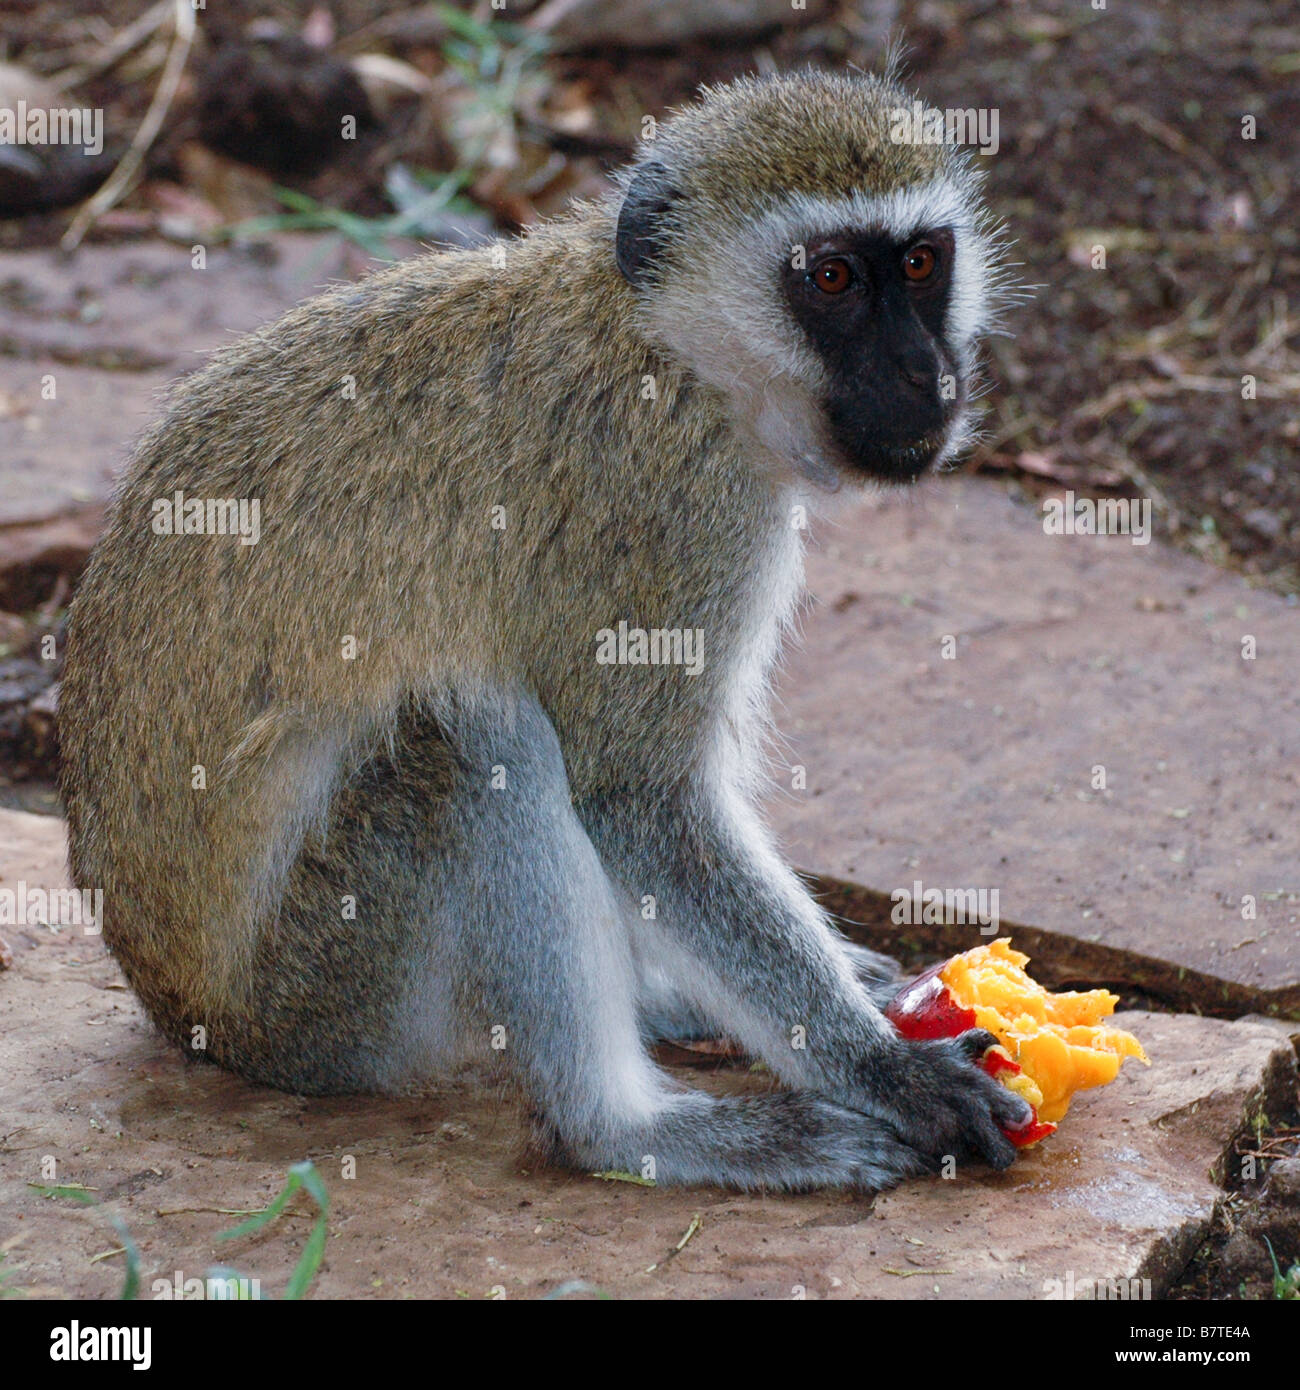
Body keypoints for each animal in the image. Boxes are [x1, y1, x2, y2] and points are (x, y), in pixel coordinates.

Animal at [60, 67, 1031, 1192]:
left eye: (920, 262)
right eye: (830, 278)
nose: (928, 373)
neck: (671, 348)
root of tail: (183, 1013)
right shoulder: (676, 507)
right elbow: (641, 802)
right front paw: (886, 1072)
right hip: (323, 999)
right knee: (469, 733)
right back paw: (626, 1130)